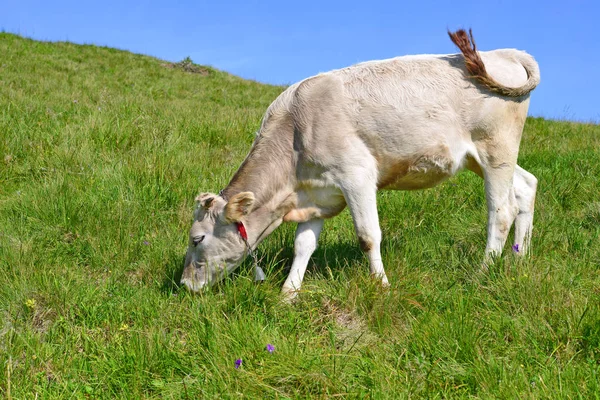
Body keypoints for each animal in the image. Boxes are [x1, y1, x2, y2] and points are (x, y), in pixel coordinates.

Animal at [180, 29, 540, 298]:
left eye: (197, 239)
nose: (184, 284)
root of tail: (505, 53)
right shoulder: (317, 193)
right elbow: (303, 245)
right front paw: (288, 293)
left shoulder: (356, 176)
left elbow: (368, 236)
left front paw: (381, 286)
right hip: (480, 158)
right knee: (526, 185)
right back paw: (520, 259)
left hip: (496, 148)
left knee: (502, 211)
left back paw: (482, 273)